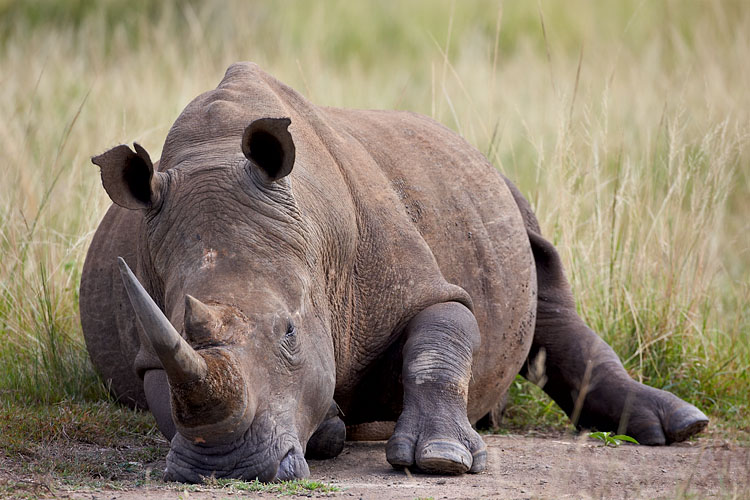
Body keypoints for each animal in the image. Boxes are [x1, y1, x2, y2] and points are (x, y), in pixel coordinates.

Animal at [80, 62, 708, 482]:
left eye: (290, 334)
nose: (225, 468)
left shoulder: (417, 281)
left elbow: (440, 338)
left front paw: (442, 459)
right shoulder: (149, 348)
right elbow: (166, 398)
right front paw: (329, 428)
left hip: (497, 186)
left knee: (549, 293)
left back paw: (679, 427)